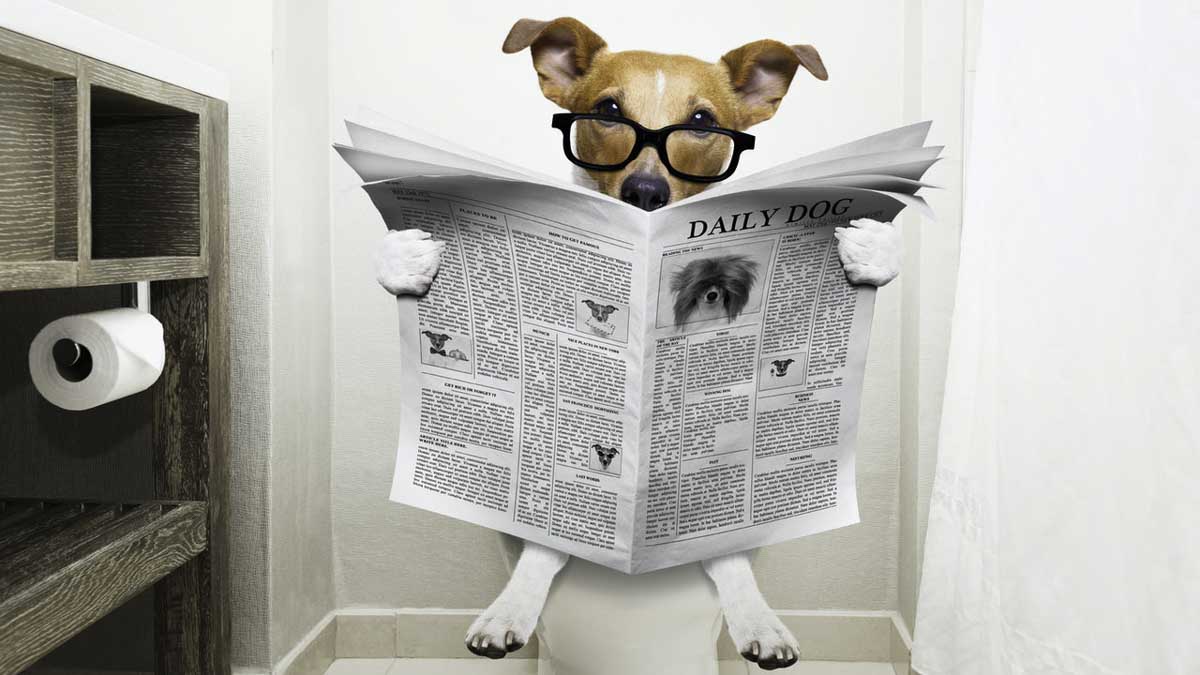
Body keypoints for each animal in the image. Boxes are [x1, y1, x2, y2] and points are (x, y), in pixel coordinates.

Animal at [369, 15, 902, 667]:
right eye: (607, 110)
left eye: (702, 121)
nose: (646, 194)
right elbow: (543, 543)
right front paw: (408, 259)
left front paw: (869, 249)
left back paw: (758, 621)